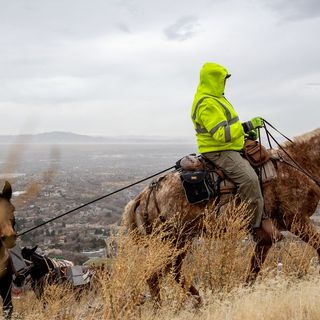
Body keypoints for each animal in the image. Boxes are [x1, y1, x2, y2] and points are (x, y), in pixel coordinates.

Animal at [123, 128, 320, 304]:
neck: (298, 164)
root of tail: (146, 195)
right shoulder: (297, 221)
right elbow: (318, 246)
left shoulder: (266, 239)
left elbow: (252, 272)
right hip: (175, 241)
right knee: (154, 277)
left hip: (181, 241)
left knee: (172, 272)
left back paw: (198, 301)